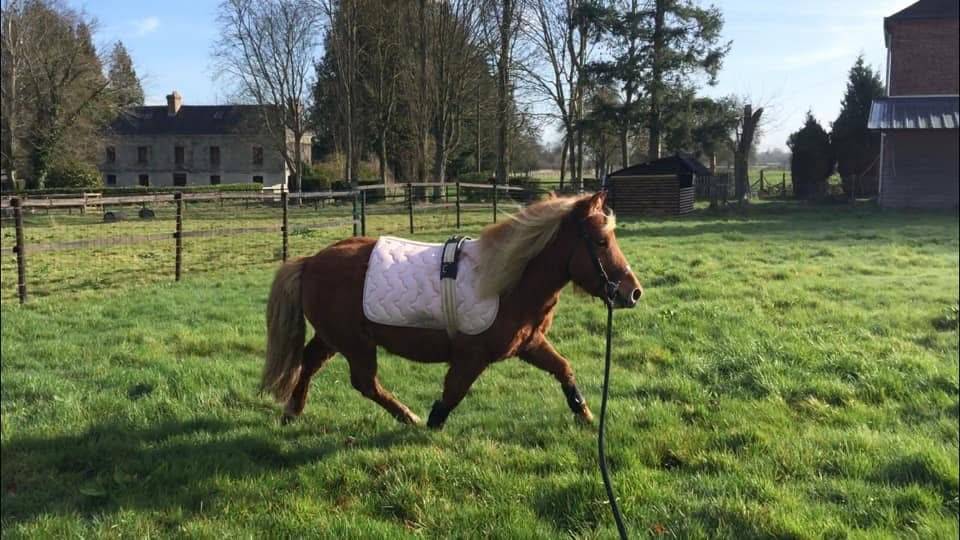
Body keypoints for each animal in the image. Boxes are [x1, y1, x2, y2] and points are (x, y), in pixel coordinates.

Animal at [260, 191, 643, 429]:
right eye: (600, 241)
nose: (633, 292)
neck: (506, 281)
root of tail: (310, 261)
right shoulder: (472, 357)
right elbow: (453, 393)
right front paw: (433, 422)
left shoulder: (530, 344)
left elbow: (564, 369)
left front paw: (585, 414)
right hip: (356, 344)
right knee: (364, 383)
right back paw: (408, 417)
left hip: (333, 338)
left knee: (310, 362)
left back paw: (293, 412)